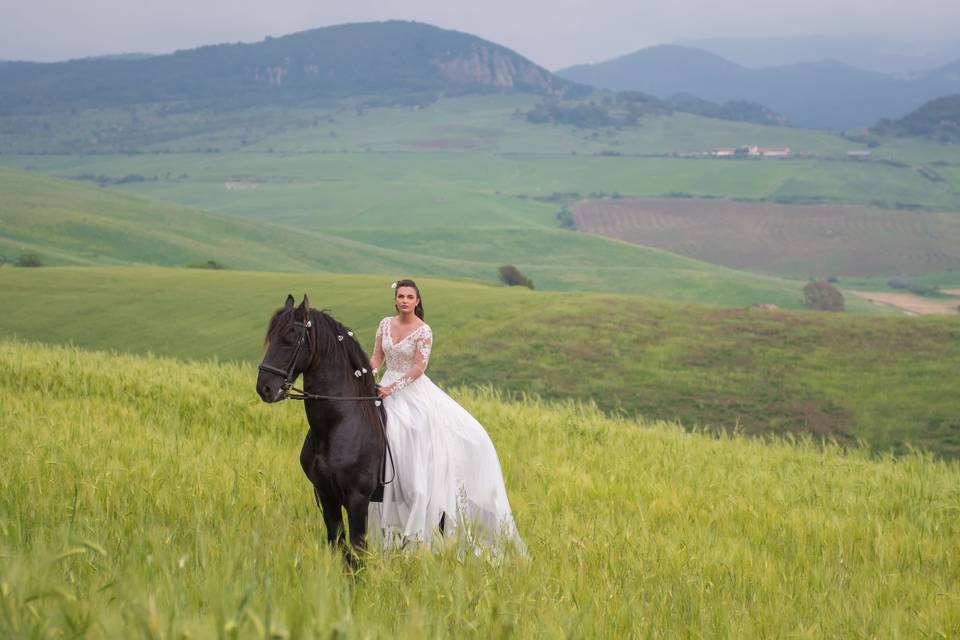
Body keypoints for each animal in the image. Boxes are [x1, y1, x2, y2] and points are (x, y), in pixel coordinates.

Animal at [258, 298, 390, 556]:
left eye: (290, 338)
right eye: (271, 336)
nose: (264, 388)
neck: (339, 425)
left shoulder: (357, 499)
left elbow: (358, 550)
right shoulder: (326, 494)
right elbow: (338, 545)